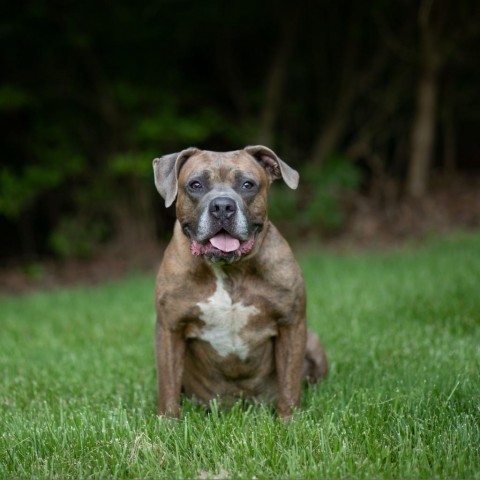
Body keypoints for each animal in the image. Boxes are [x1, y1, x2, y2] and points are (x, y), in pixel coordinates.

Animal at [152, 146, 328, 420]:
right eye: (195, 184)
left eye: (248, 184)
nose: (222, 206)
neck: (229, 270)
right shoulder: (170, 329)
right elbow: (168, 385)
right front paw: (168, 423)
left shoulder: (292, 324)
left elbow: (289, 382)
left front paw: (288, 421)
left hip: (312, 341)